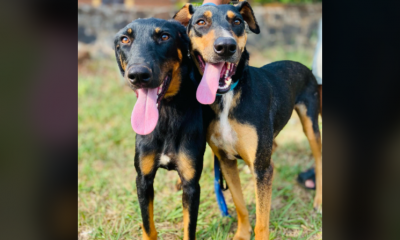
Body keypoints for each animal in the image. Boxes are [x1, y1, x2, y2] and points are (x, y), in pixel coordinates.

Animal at [113, 17, 205, 239]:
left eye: (164, 36)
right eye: (125, 39)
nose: (138, 74)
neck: (166, 113)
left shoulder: (192, 187)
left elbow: (189, 228)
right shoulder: (143, 179)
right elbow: (148, 225)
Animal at [175, 2, 322, 240]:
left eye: (237, 21)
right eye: (201, 22)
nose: (226, 46)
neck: (227, 97)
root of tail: (303, 67)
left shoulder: (262, 169)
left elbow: (262, 220)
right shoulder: (226, 160)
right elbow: (240, 205)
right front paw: (242, 234)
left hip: (310, 123)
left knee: (319, 159)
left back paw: (318, 201)